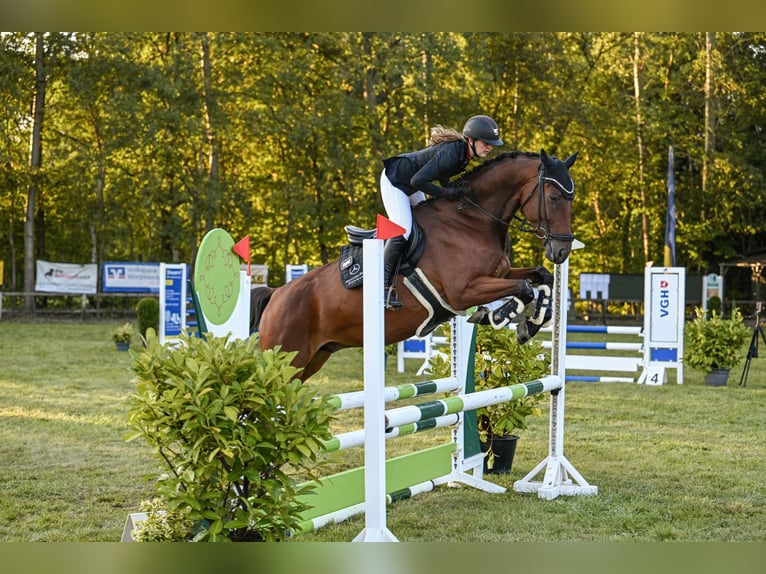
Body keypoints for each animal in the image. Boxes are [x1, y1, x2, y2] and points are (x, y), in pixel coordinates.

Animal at [249, 150, 580, 382]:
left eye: (571, 199)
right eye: (553, 197)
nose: (562, 250)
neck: (472, 219)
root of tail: (276, 295)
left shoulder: (496, 274)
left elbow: (540, 276)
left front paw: (534, 321)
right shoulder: (463, 291)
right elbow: (523, 288)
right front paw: (500, 316)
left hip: (314, 358)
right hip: (288, 358)